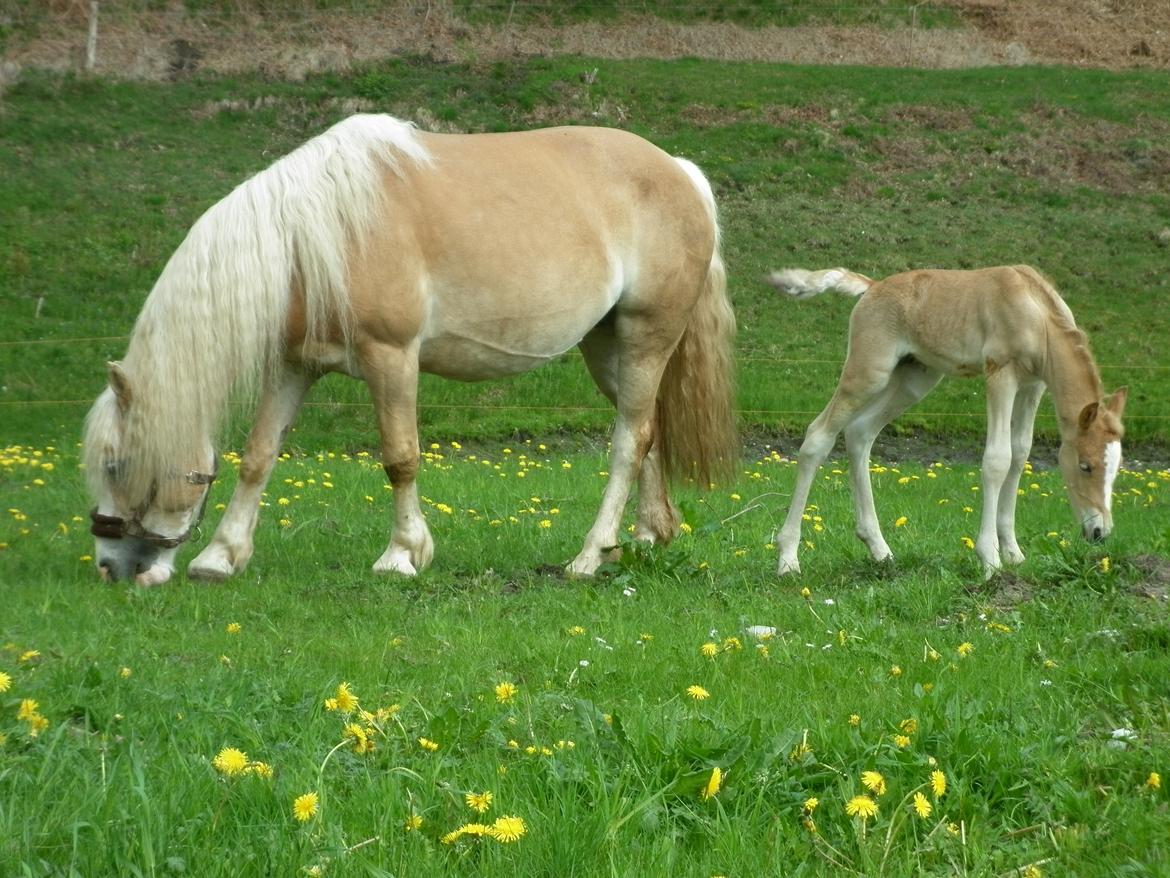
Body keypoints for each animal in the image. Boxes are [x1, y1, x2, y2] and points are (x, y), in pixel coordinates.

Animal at [86, 113, 734, 587]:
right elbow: (259, 456)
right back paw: (645, 537)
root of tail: (680, 171)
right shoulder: (294, 366)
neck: (315, 236)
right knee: (645, 430)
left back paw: (589, 556)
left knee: (627, 442)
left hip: (647, 337)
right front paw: (220, 557)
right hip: (609, 349)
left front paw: (402, 555)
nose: (111, 568)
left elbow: (400, 457)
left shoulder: (390, 358)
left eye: (116, 464)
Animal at [762, 264, 1127, 580]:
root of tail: (872, 287)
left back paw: (880, 550)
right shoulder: (1000, 374)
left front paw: (1013, 553)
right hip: (869, 373)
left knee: (860, 432)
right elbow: (998, 459)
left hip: (915, 378)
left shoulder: (1033, 384)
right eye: (1085, 466)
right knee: (818, 437)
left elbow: (1021, 453)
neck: (1035, 309)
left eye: (1115, 468)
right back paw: (788, 560)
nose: (1099, 531)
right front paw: (990, 559)